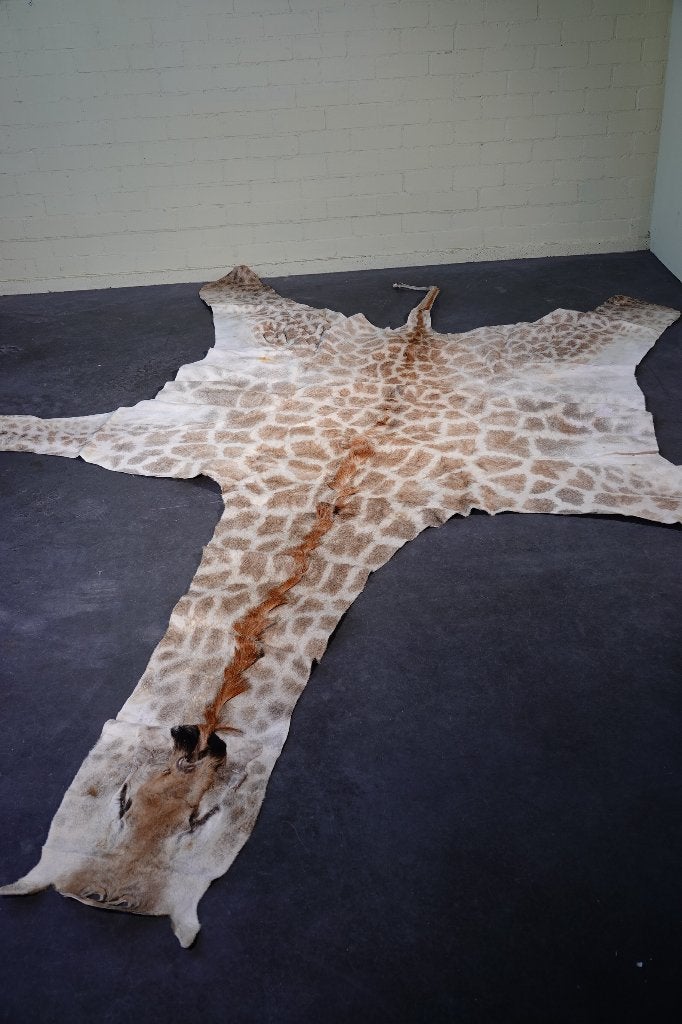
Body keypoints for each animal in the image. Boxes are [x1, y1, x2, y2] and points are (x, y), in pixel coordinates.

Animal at [0, 264, 680, 947]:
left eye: (205, 820)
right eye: (121, 801)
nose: (107, 897)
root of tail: (413, 337)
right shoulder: (147, 433)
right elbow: (62, 430)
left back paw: (646, 303)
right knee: (243, 293)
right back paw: (236, 280)